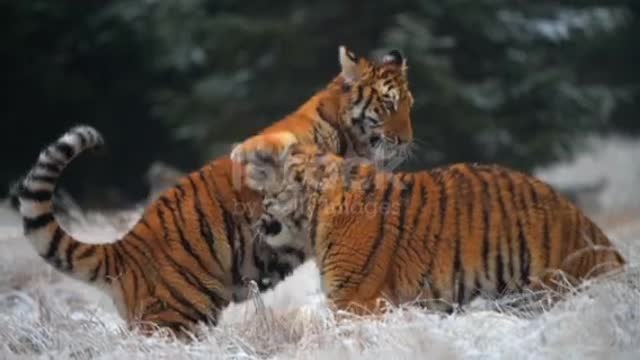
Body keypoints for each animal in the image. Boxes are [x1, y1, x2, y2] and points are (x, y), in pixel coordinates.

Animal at [16, 46, 416, 336]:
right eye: (388, 105)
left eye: (409, 106)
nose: (406, 142)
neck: (350, 137)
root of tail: (124, 248)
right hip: (174, 318)